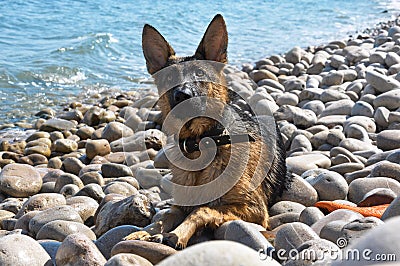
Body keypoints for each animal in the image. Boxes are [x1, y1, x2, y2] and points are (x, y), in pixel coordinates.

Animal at [125, 13, 288, 249]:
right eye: (169, 79)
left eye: (200, 73)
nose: (182, 95)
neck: (201, 143)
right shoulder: (180, 204)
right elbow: (166, 216)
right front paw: (144, 233)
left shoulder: (254, 209)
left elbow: (202, 210)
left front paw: (178, 233)